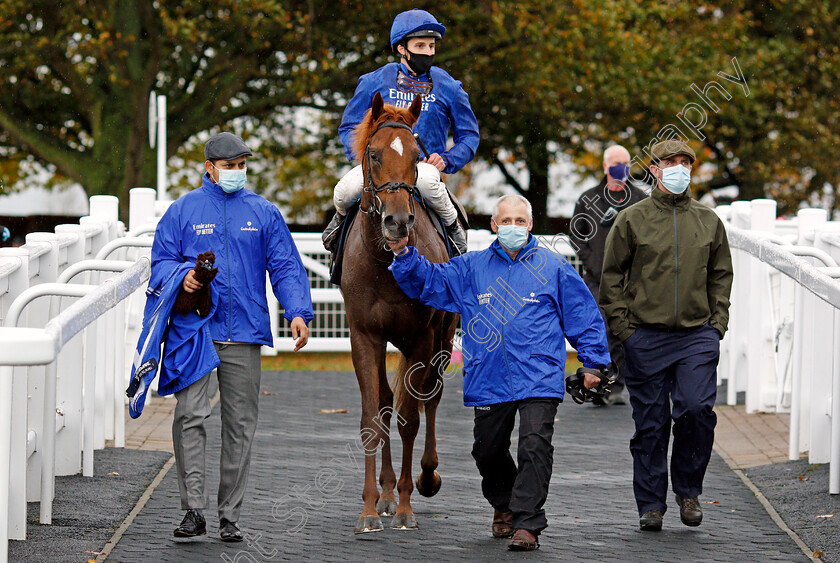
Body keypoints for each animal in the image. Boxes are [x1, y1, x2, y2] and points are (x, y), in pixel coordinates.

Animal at [342, 92, 460, 532]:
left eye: (416, 155)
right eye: (374, 154)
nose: (397, 220)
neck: (384, 264)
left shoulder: (420, 338)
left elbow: (411, 418)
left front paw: (408, 505)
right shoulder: (364, 336)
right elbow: (373, 418)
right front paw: (370, 508)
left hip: (443, 337)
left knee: (432, 397)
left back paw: (424, 477)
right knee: (388, 401)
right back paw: (388, 491)